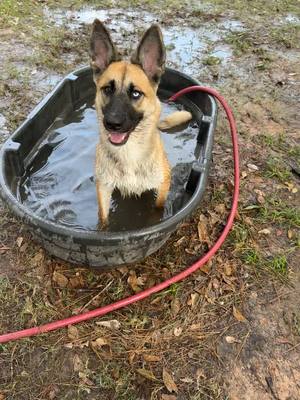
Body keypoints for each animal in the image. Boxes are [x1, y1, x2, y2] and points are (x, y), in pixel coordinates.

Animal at [89, 20, 192, 227]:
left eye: (136, 93)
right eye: (107, 89)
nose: (112, 123)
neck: (129, 153)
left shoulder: (162, 185)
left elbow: (158, 208)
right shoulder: (103, 188)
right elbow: (103, 220)